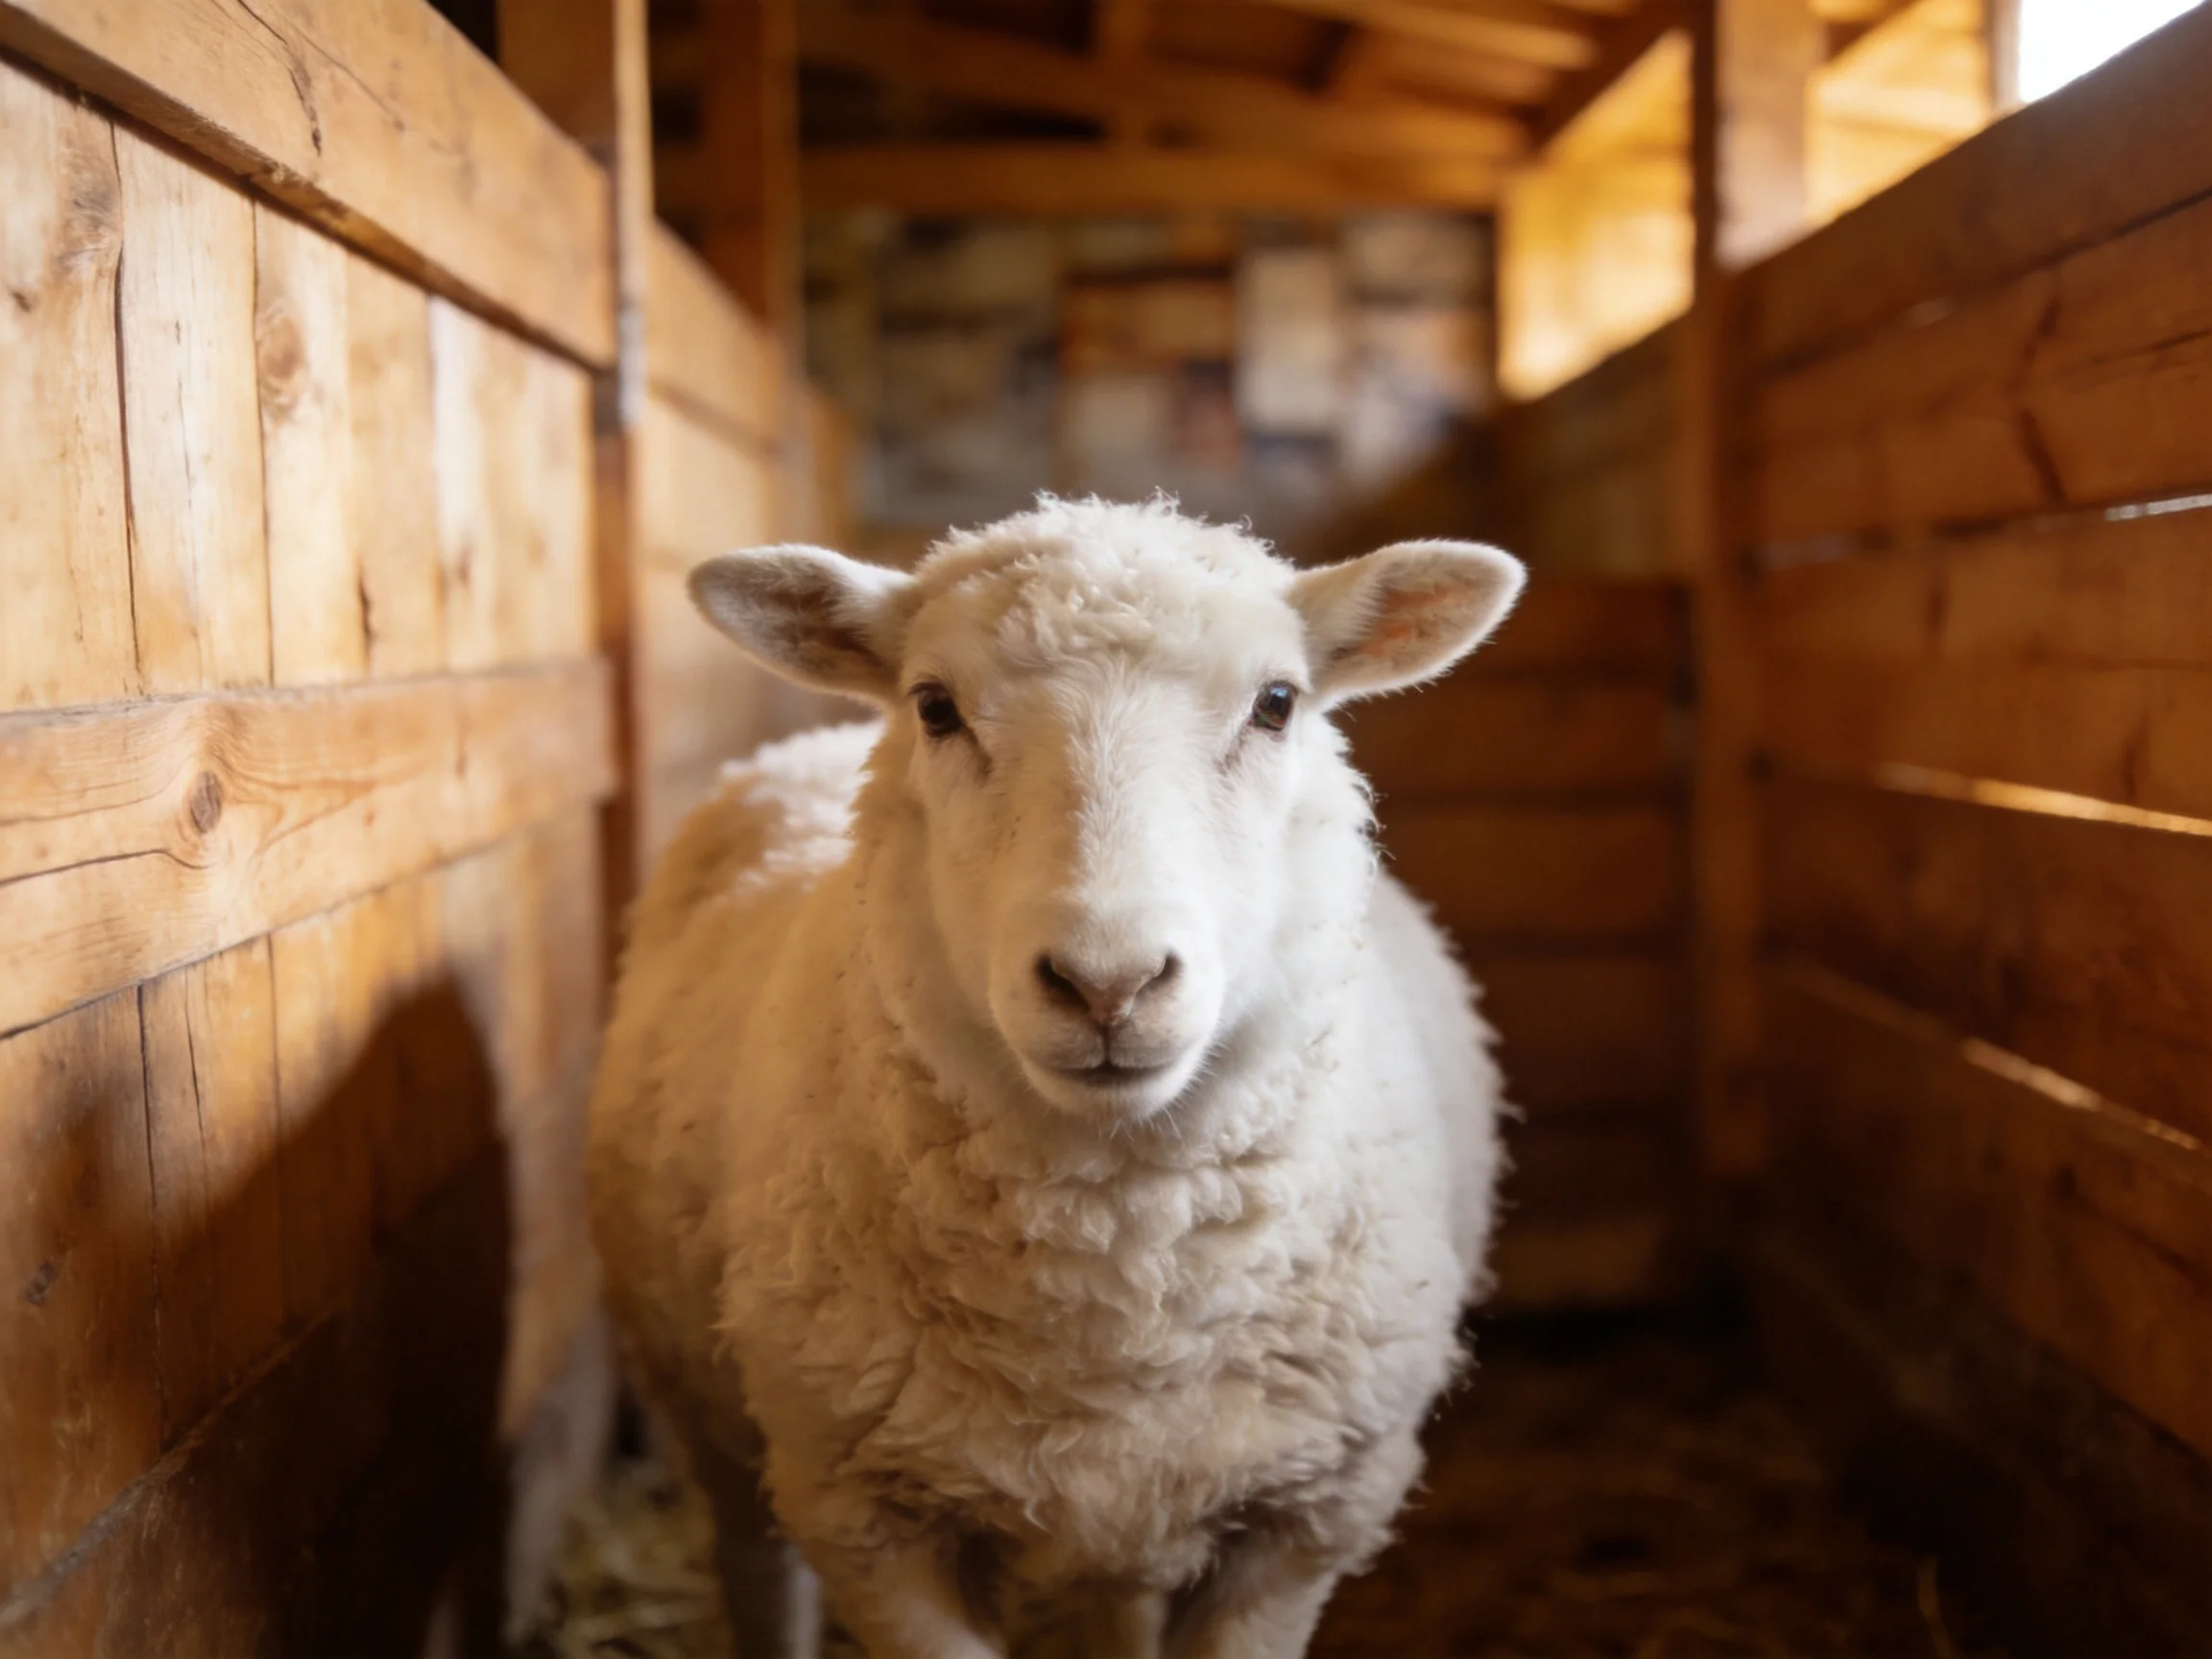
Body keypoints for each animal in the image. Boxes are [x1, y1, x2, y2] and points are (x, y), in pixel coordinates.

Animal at [587, 497, 1524, 1659]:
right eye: (935, 707)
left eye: (1277, 703)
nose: (1106, 982)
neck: (1114, 1286)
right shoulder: (871, 1518)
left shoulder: (1305, 1518)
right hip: (709, 1400)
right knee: (755, 1562)